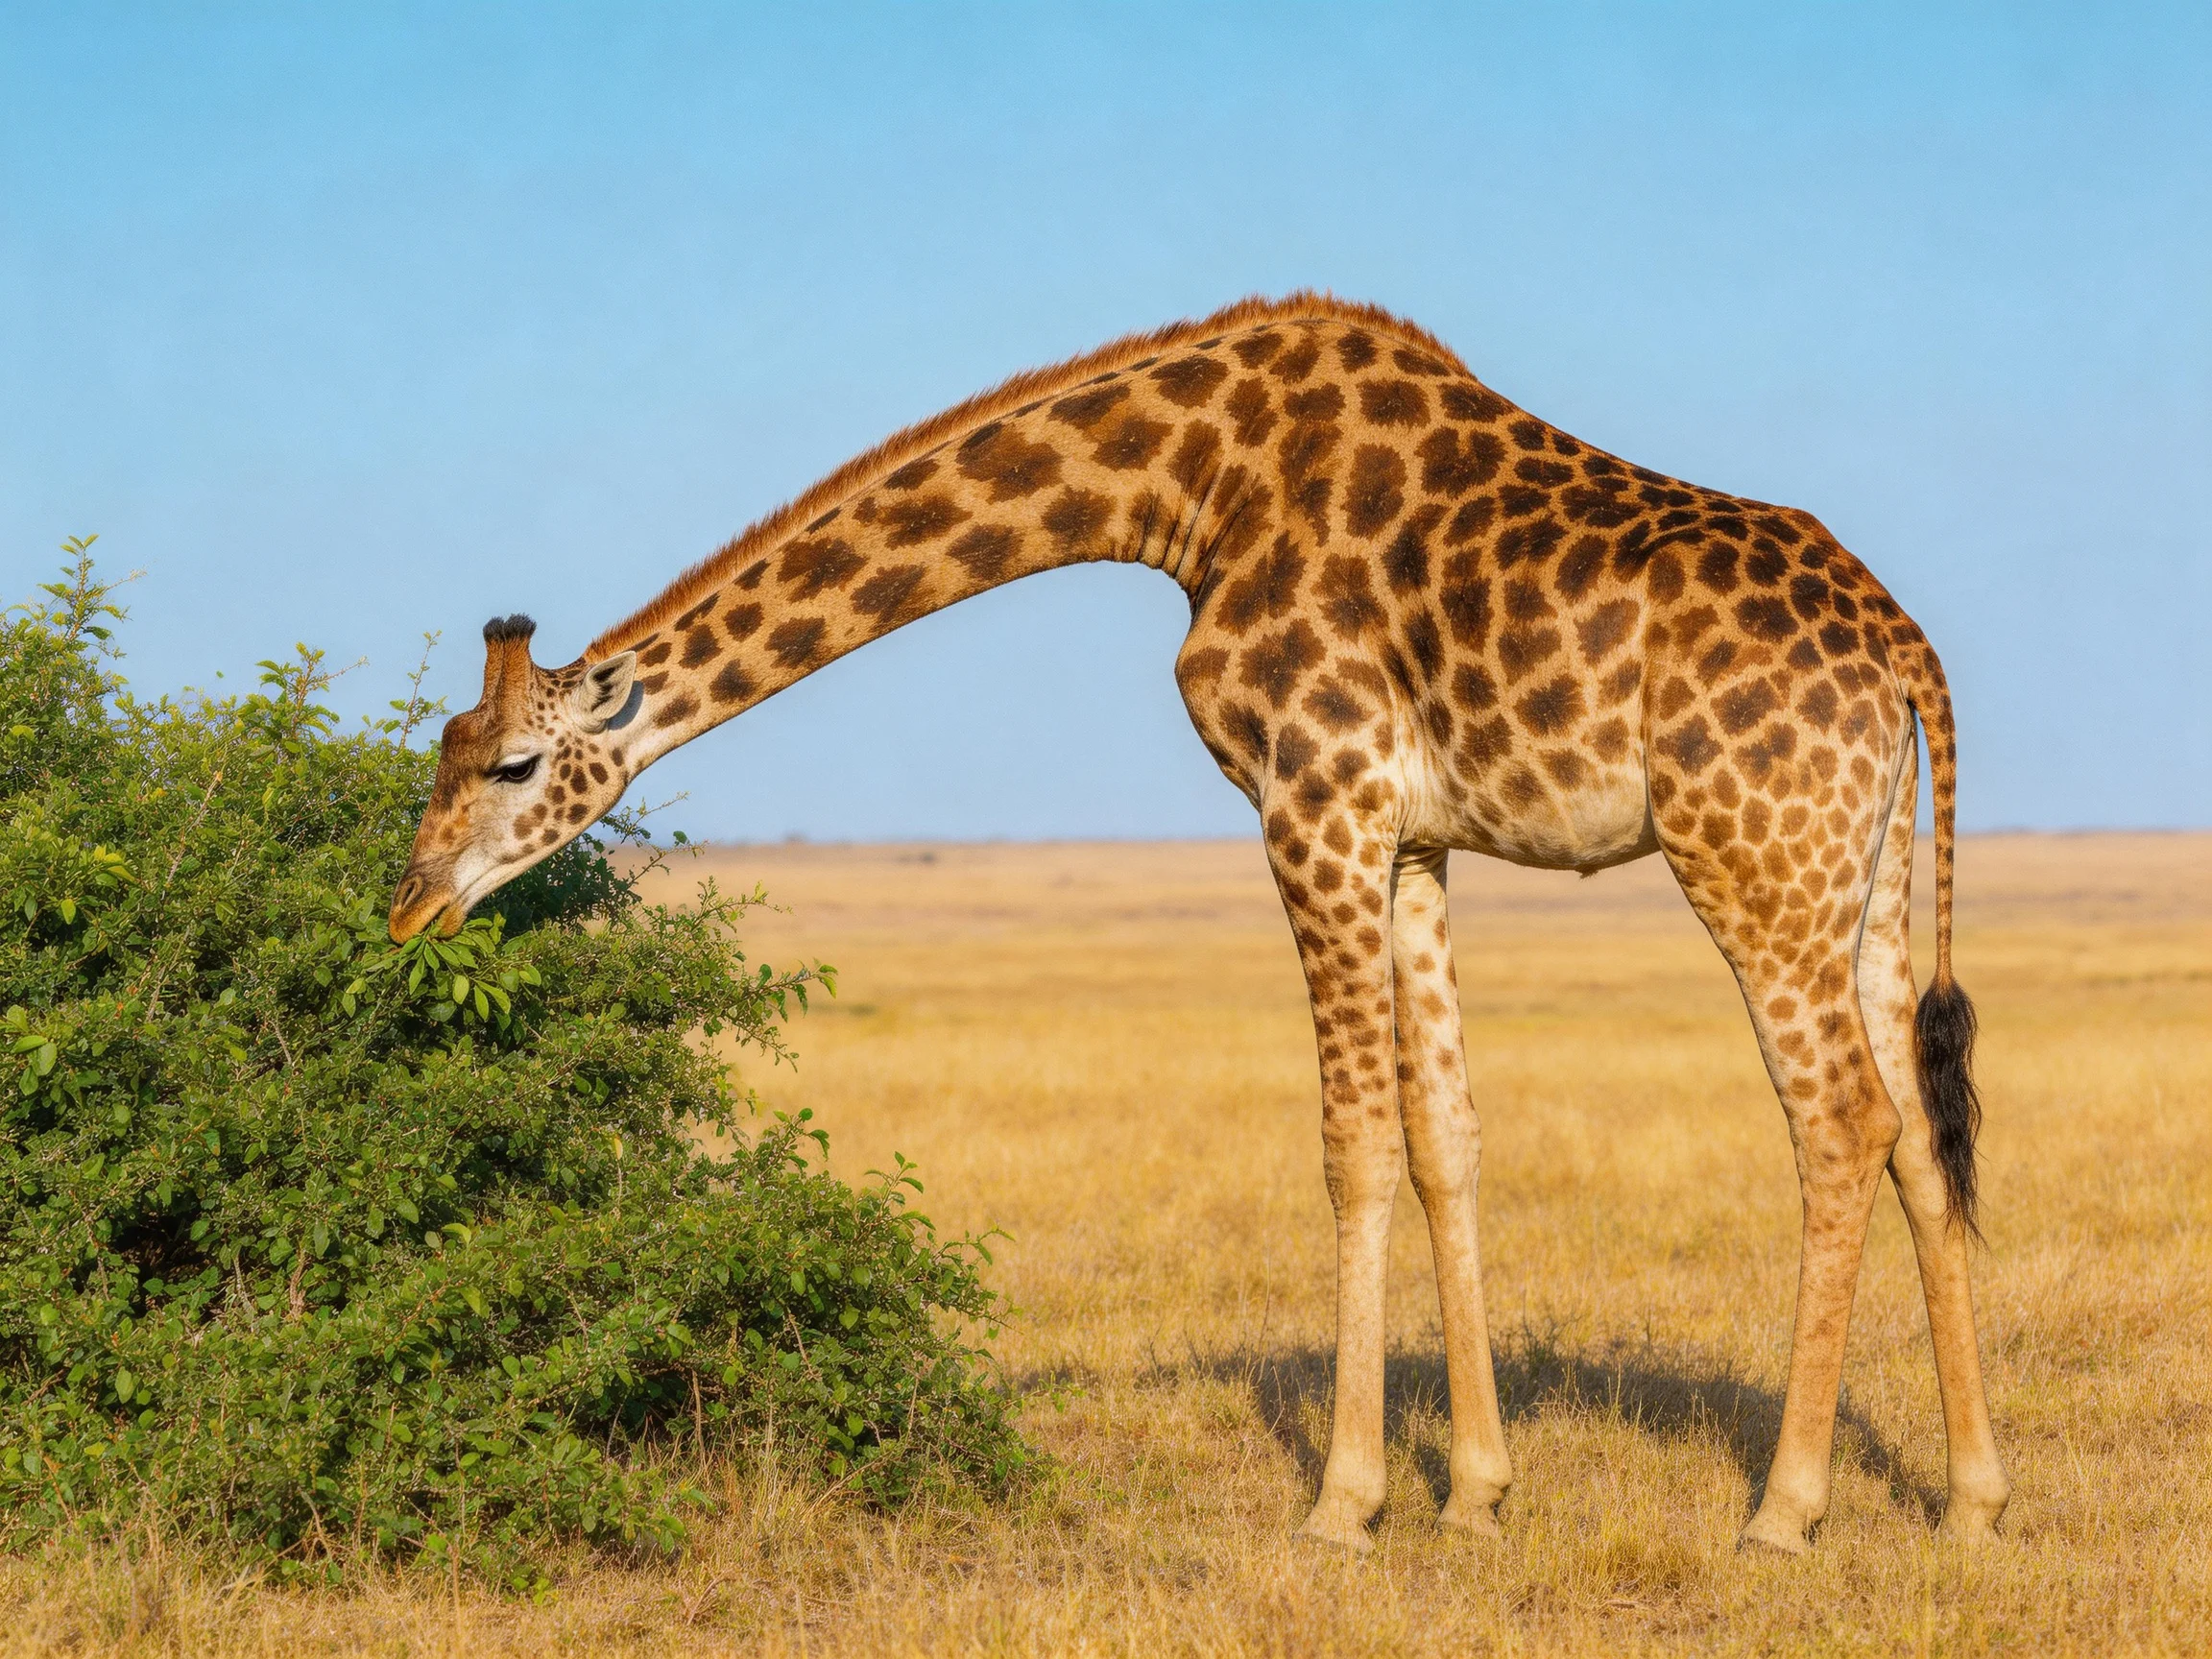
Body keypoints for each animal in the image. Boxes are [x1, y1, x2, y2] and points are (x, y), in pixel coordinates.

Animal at [388, 293, 2009, 1554]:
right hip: (1859, 874)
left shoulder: (1315, 795)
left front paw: (1345, 1505)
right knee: (1924, 1135)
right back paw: (1976, 1497)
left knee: (1840, 1121)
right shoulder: (1412, 835)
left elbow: (1353, 1146)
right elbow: (1447, 1142)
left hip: (1745, 853)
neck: (1187, 487)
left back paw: (1785, 1510)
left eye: (512, 765)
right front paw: (1477, 1493)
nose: (407, 909)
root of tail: (1906, 648)